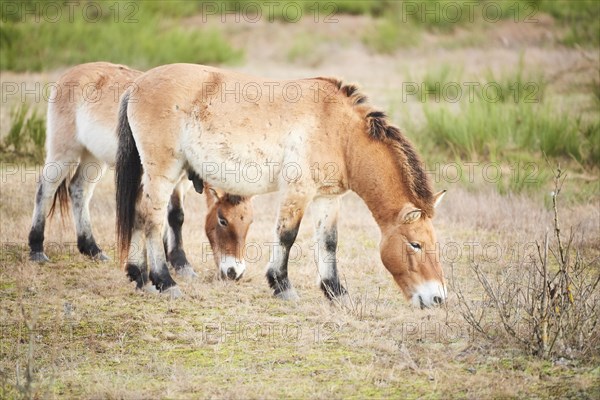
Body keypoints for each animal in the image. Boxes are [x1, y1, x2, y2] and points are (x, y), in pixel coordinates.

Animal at [28, 62, 252, 282]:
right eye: (223, 220)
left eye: (249, 222)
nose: (235, 273)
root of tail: (71, 73)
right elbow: (174, 216)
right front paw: (180, 264)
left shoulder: (179, 181)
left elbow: (169, 216)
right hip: (64, 151)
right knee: (45, 189)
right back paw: (37, 249)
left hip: (92, 158)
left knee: (78, 190)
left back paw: (92, 249)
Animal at [116, 63, 446, 306]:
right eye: (415, 244)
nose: (437, 298)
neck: (340, 132)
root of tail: (136, 85)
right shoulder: (298, 191)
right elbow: (287, 236)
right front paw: (282, 285)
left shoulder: (327, 198)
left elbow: (328, 242)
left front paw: (336, 292)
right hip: (163, 173)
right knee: (152, 220)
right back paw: (164, 281)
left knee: (138, 213)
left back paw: (139, 277)